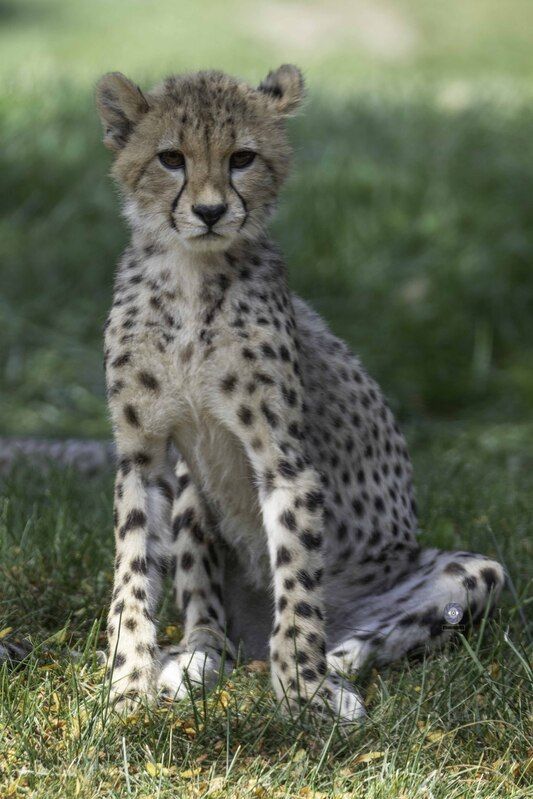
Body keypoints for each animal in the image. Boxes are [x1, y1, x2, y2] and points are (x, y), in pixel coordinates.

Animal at [95, 64, 506, 721]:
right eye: (170, 158)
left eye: (242, 158)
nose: (210, 211)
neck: (191, 275)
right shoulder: (144, 457)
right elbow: (132, 575)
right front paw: (128, 689)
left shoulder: (284, 460)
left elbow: (297, 581)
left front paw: (303, 693)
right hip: (190, 491)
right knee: (209, 626)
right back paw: (191, 665)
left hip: (470, 573)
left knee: (375, 634)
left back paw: (337, 673)